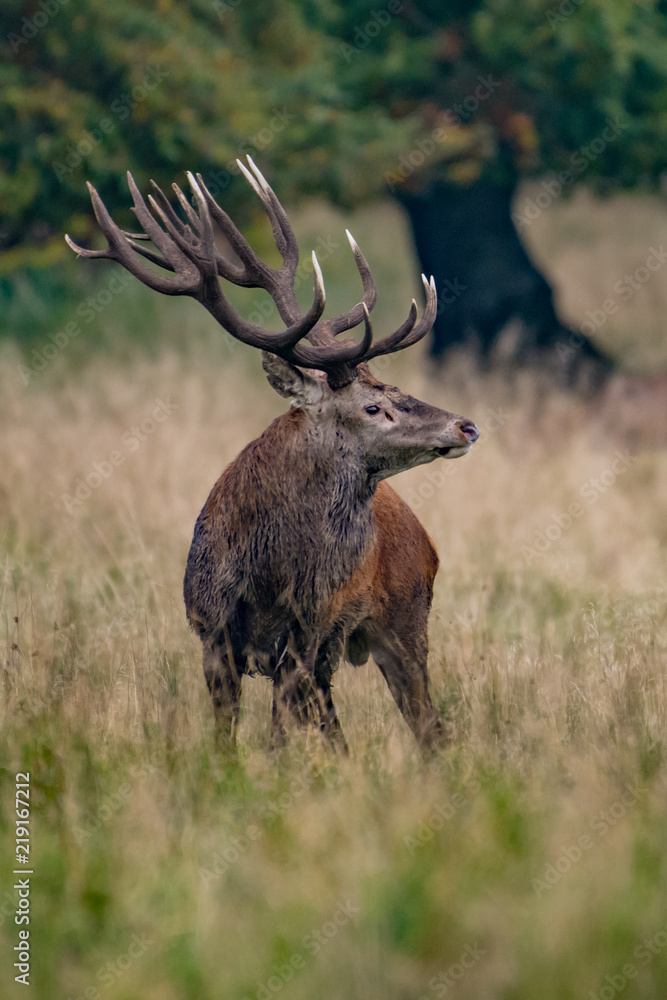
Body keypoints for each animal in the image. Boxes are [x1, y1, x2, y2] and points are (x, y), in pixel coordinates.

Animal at [66, 157, 479, 751]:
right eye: (374, 405)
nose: (466, 425)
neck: (266, 573)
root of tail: (427, 541)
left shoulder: (306, 630)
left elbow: (278, 738)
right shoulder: (210, 629)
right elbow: (230, 734)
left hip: (404, 619)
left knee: (430, 728)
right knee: (346, 730)